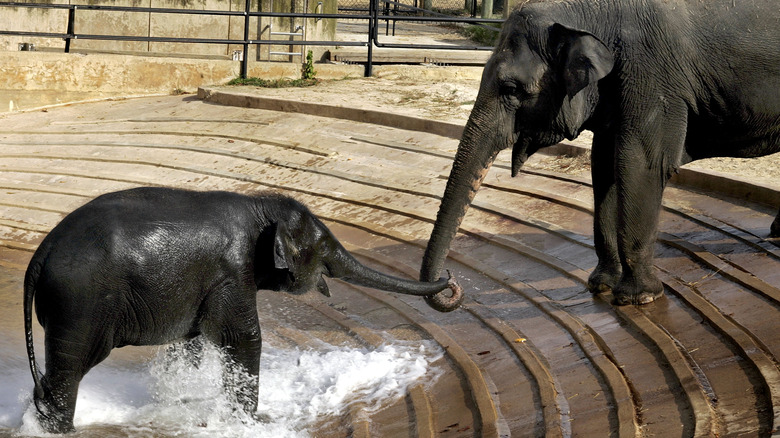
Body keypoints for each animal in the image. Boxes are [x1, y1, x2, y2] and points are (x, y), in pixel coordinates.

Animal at [24, 186, 464, 432]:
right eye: (324, 248)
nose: (452, 281)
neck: (259, 206)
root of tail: (40, 255)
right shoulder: (231, 271)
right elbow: (245, 338)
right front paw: (253, 424)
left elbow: (190, 342)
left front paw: (183, 404)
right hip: (79, 303)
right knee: (70, 368)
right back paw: (59, 429)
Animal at [420, 0, 780, 308]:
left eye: (511, 89)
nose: (450, 284)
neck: (590, 12)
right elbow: (604, 163)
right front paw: (601, 284)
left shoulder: (651, 75)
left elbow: (642, 162)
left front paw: (639, 298)